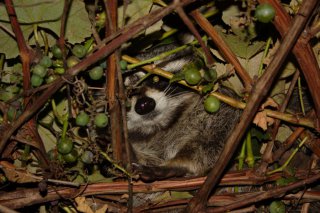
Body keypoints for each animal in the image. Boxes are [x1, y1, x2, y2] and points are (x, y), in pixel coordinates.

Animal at [125, 43, 240, 181]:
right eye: (126, 92)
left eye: (156, 78)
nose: (144, 105)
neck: (163, 125)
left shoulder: (223, 105)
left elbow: (213, 135)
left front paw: (180, 164)